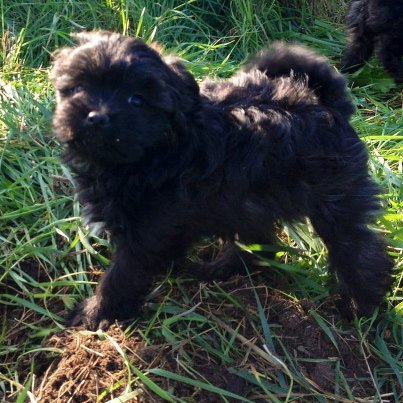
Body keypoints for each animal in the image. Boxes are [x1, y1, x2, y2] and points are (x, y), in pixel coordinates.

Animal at [51, 31, 394, 330]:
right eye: (80, 87)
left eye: (137, 100)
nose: (97, 117)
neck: (157, 152)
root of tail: (327, 104)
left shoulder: (148, 231)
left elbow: (121, 275)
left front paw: (94, 314)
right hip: (246, 200)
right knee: (260, 241)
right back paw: (220, 269)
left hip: (335, 198)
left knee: (357, 248)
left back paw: (362, 307)